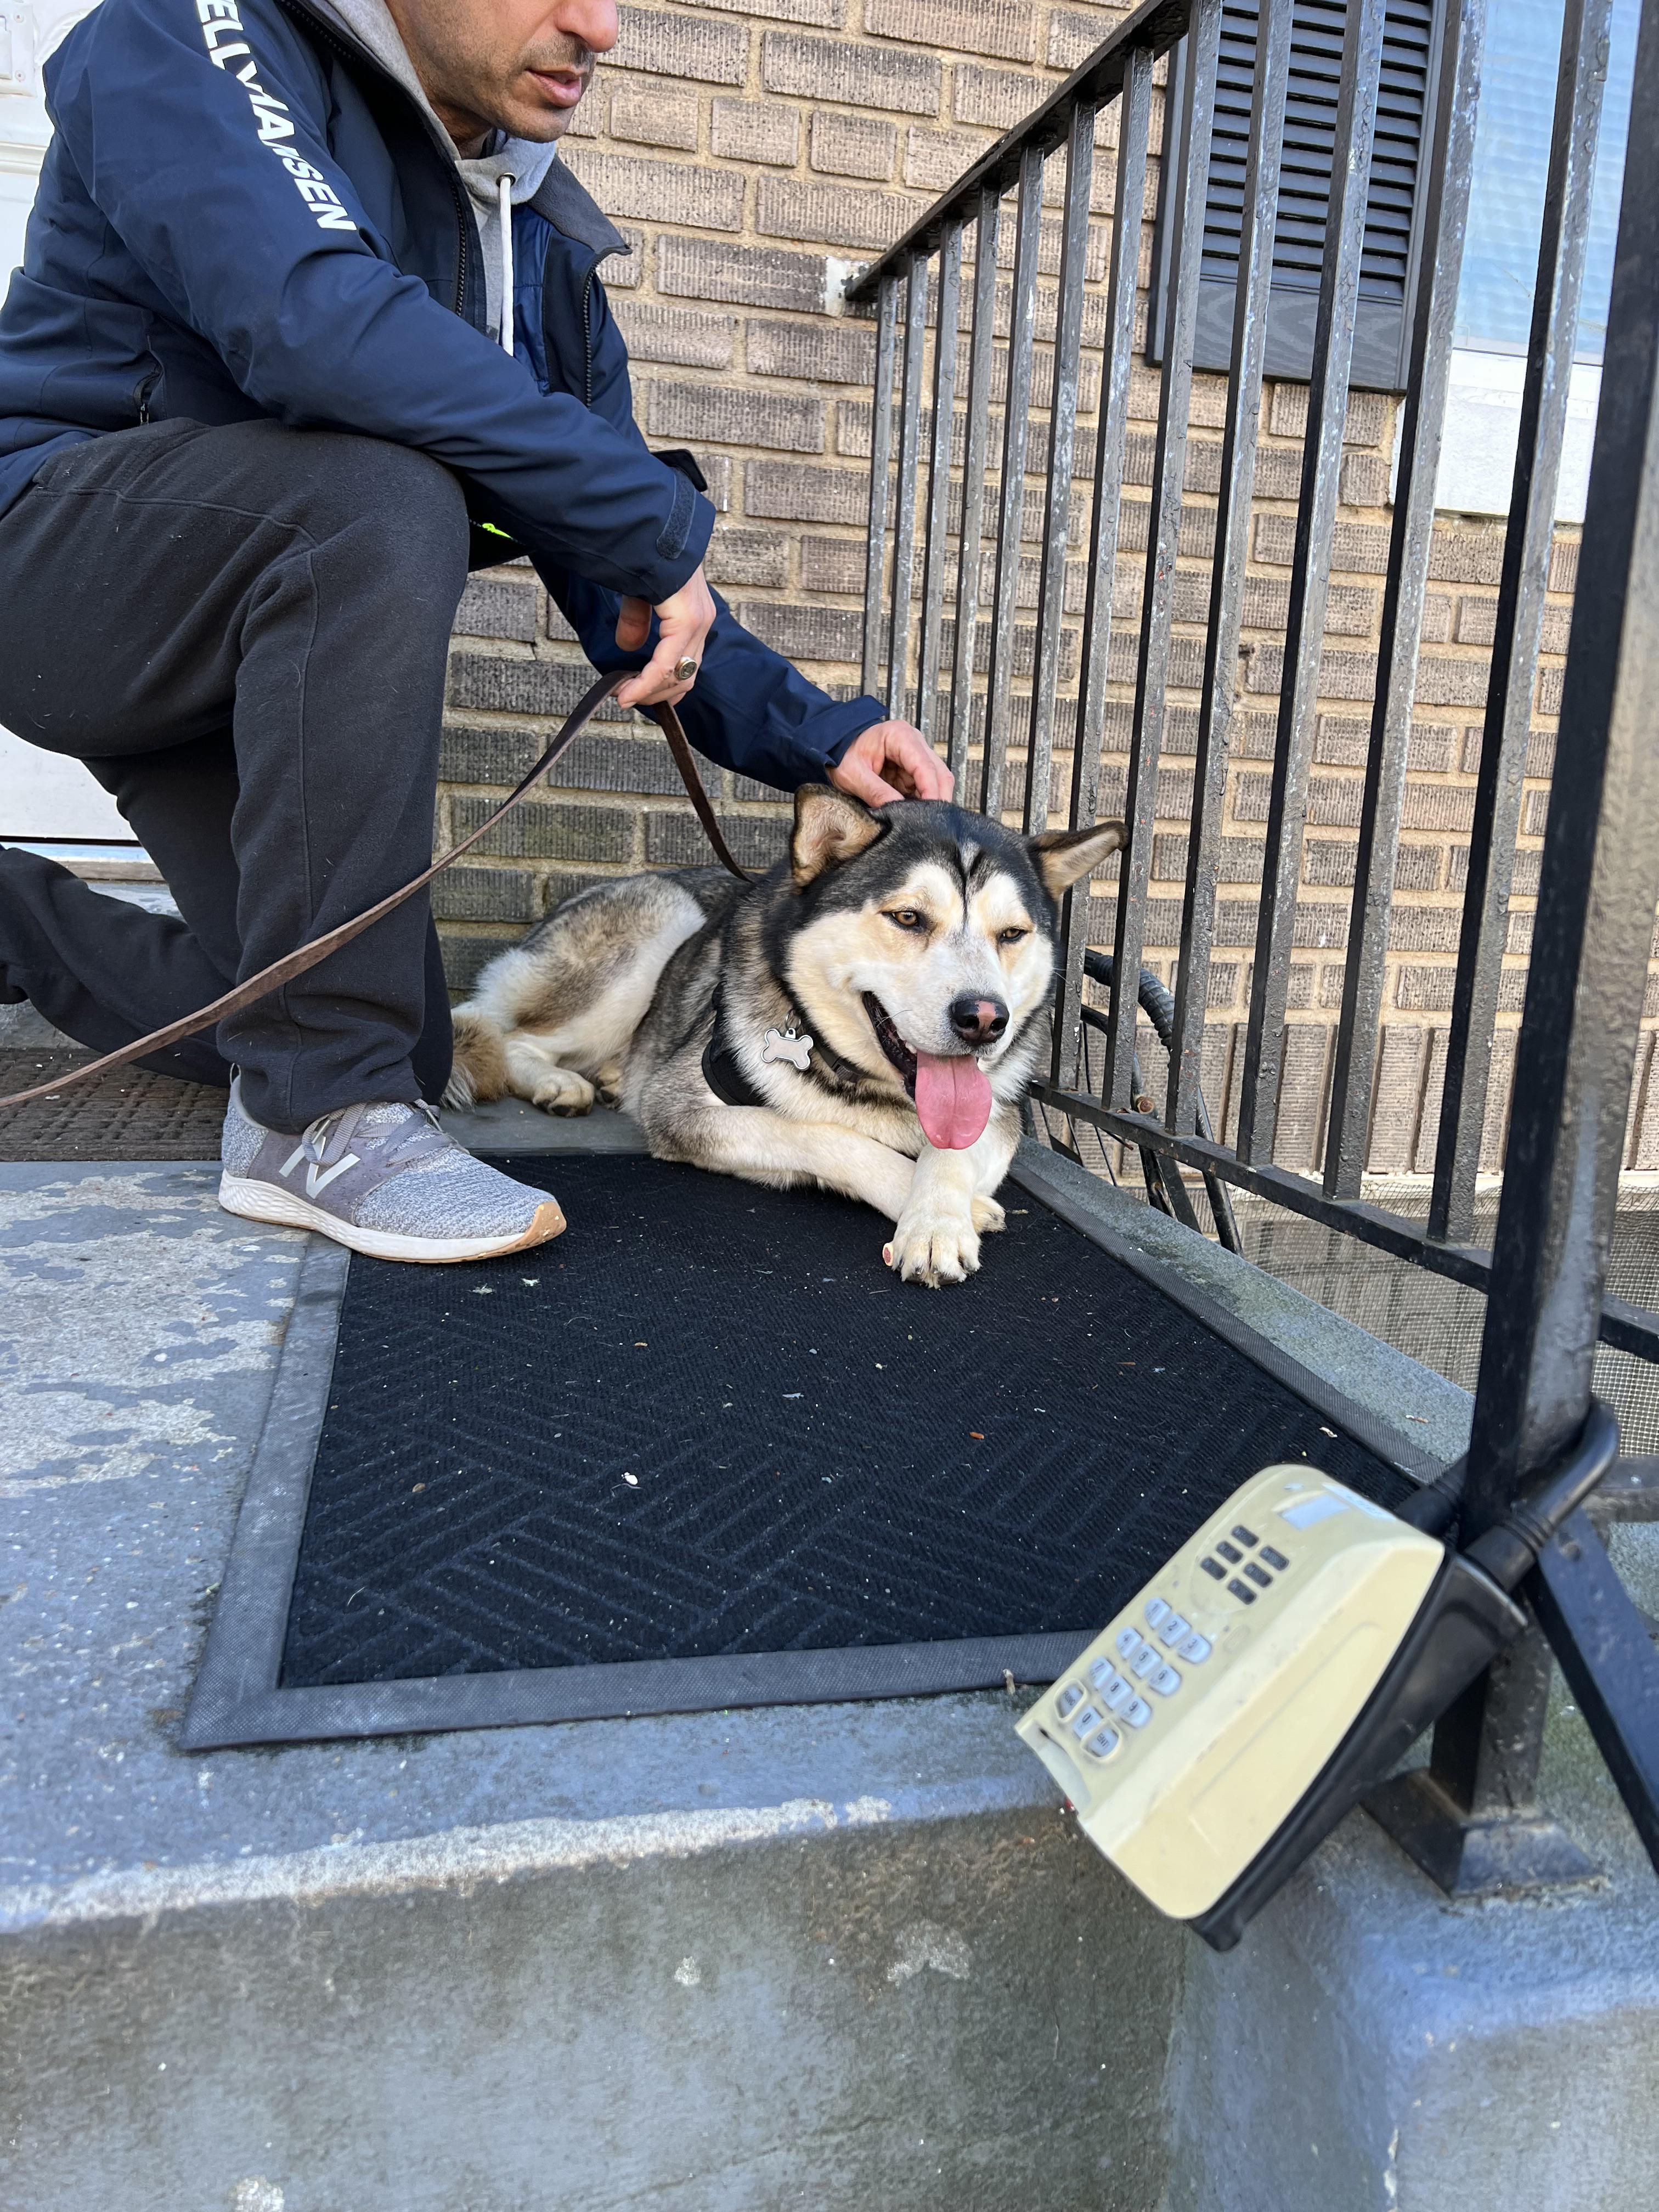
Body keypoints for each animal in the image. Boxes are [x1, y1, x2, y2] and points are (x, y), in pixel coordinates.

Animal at [444, 787, 1126, 1286]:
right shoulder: (685, 1108)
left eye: (1011, 934)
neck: (868, 1084)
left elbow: (955, 1150)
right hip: (661, 926)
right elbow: (823, 1136)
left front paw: (940, 1216)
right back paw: (560, 1083)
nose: (985, 1020)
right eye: (908, 917)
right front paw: (937, 1208)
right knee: (511, 1034)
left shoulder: (1000, 1116)